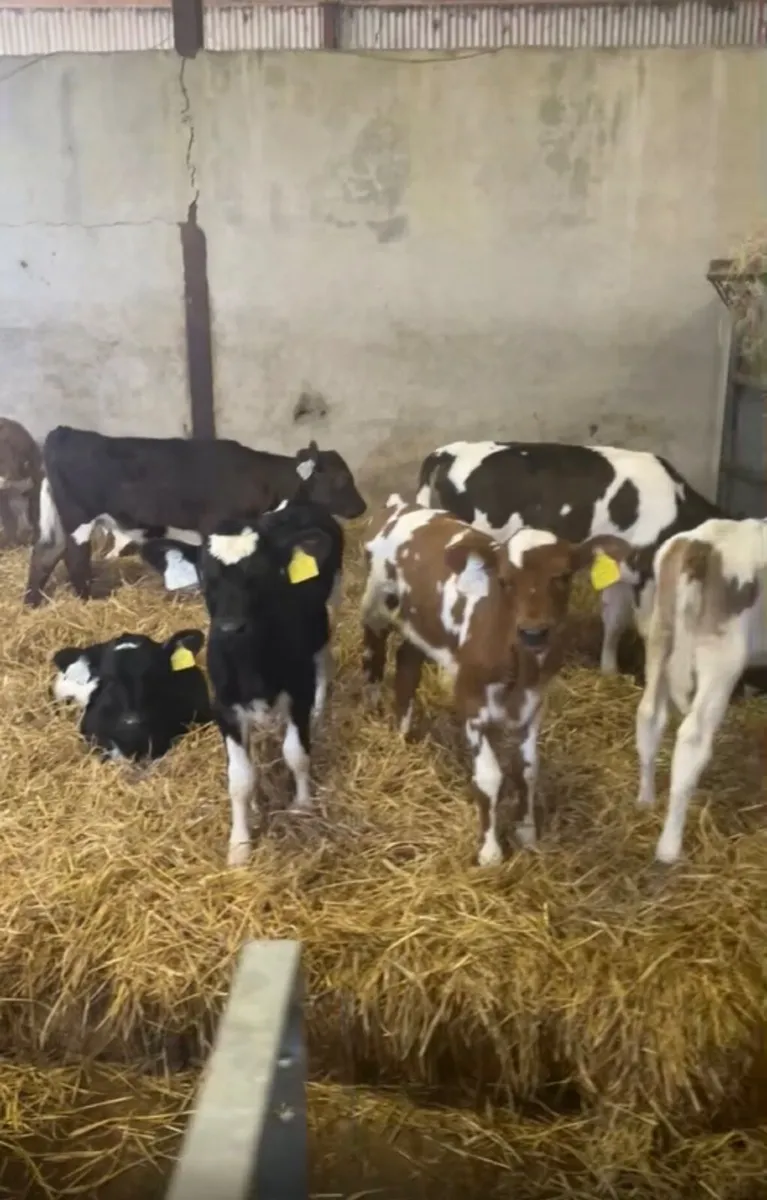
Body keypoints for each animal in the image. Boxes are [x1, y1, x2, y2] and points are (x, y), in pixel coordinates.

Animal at [24, 427, 366, 606]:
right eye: (341, 480)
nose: (362, 507)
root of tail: (65, 432)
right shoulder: (216, 526)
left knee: (44, 555)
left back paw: (33, 603)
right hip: (79, 519)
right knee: (75, 559)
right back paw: (88, 599)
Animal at [199, 500, 344, 866]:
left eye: (260, 572)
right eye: (205, 576)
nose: (231, 627)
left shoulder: (298, 690)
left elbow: (296, 753)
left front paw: (302, 804)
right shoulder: (224, 706)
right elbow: (240, 777)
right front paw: (240, 842)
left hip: (329, 609)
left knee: (324, 660)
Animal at [360, 493, 632, 867]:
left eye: (562, 576)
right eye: (505, 581)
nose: (533, 632)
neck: (518, 662)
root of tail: (402, 505)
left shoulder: (534, 702)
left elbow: (527, 769)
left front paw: (527, 832)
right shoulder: (471, 699)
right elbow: (489, 776)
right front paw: (490, 851)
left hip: (421, 626)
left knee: (406, 663)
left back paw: (403, 733)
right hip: (375, 605)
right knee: (372, 654)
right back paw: (375, 707)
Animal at [415, 441, 727, 678]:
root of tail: (452, 450)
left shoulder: (620, 567)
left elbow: (614, 619)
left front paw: (610, 671)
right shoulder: (646, 571)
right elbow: (651, 631)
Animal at [634, 517, 767, 865]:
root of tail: (701, 545)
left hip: (661, 633)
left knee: (649, 715)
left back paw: (645, 799)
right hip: (722, 658)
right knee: (693, 738)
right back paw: (668, 848)